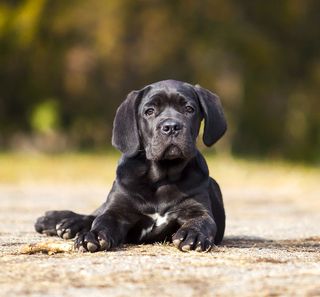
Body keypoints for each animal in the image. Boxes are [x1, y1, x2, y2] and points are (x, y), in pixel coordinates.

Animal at [35, 79, 228, 252]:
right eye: (149, 111)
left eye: (189, 109)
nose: (171, 126)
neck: (161, 177)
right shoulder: (117, 210)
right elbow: (102, 221)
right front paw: (93, 236)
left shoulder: (197, 209)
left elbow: (202, 222)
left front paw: (193, 235)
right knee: (94, 214)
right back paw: (59, 221)